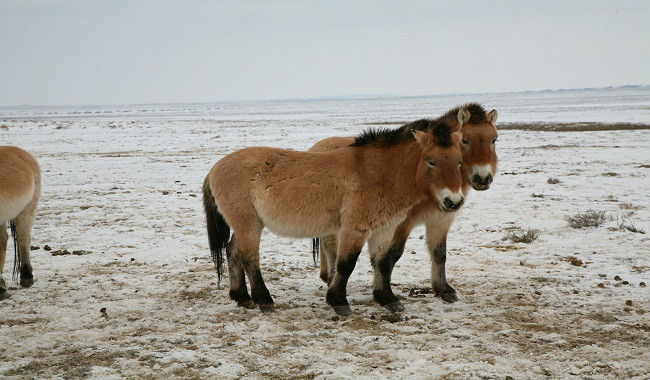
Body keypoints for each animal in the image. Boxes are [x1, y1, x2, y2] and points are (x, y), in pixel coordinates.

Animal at [202, 112, 466, 314]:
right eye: (431, 161)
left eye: (459, 161)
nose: (453, 202)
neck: (378, 173)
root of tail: (215, 168)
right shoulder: (354, 228)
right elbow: (346, 264)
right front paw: (339, 302)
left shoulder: (384, 230)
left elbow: (381, 263)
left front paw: (387, 299)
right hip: (248, 224)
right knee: (249, 258)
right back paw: (264, 300)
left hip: (248, 224)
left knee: (233, 252)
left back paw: (242, 297)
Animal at [308, 102, 496, 310]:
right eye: (465, 140)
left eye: (494, 140)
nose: (482, 178)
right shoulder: (399, 223)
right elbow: (392, 255)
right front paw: (384, 291)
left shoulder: (441, 219)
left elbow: (439, 253)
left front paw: (443, 289)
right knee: (331, 246)